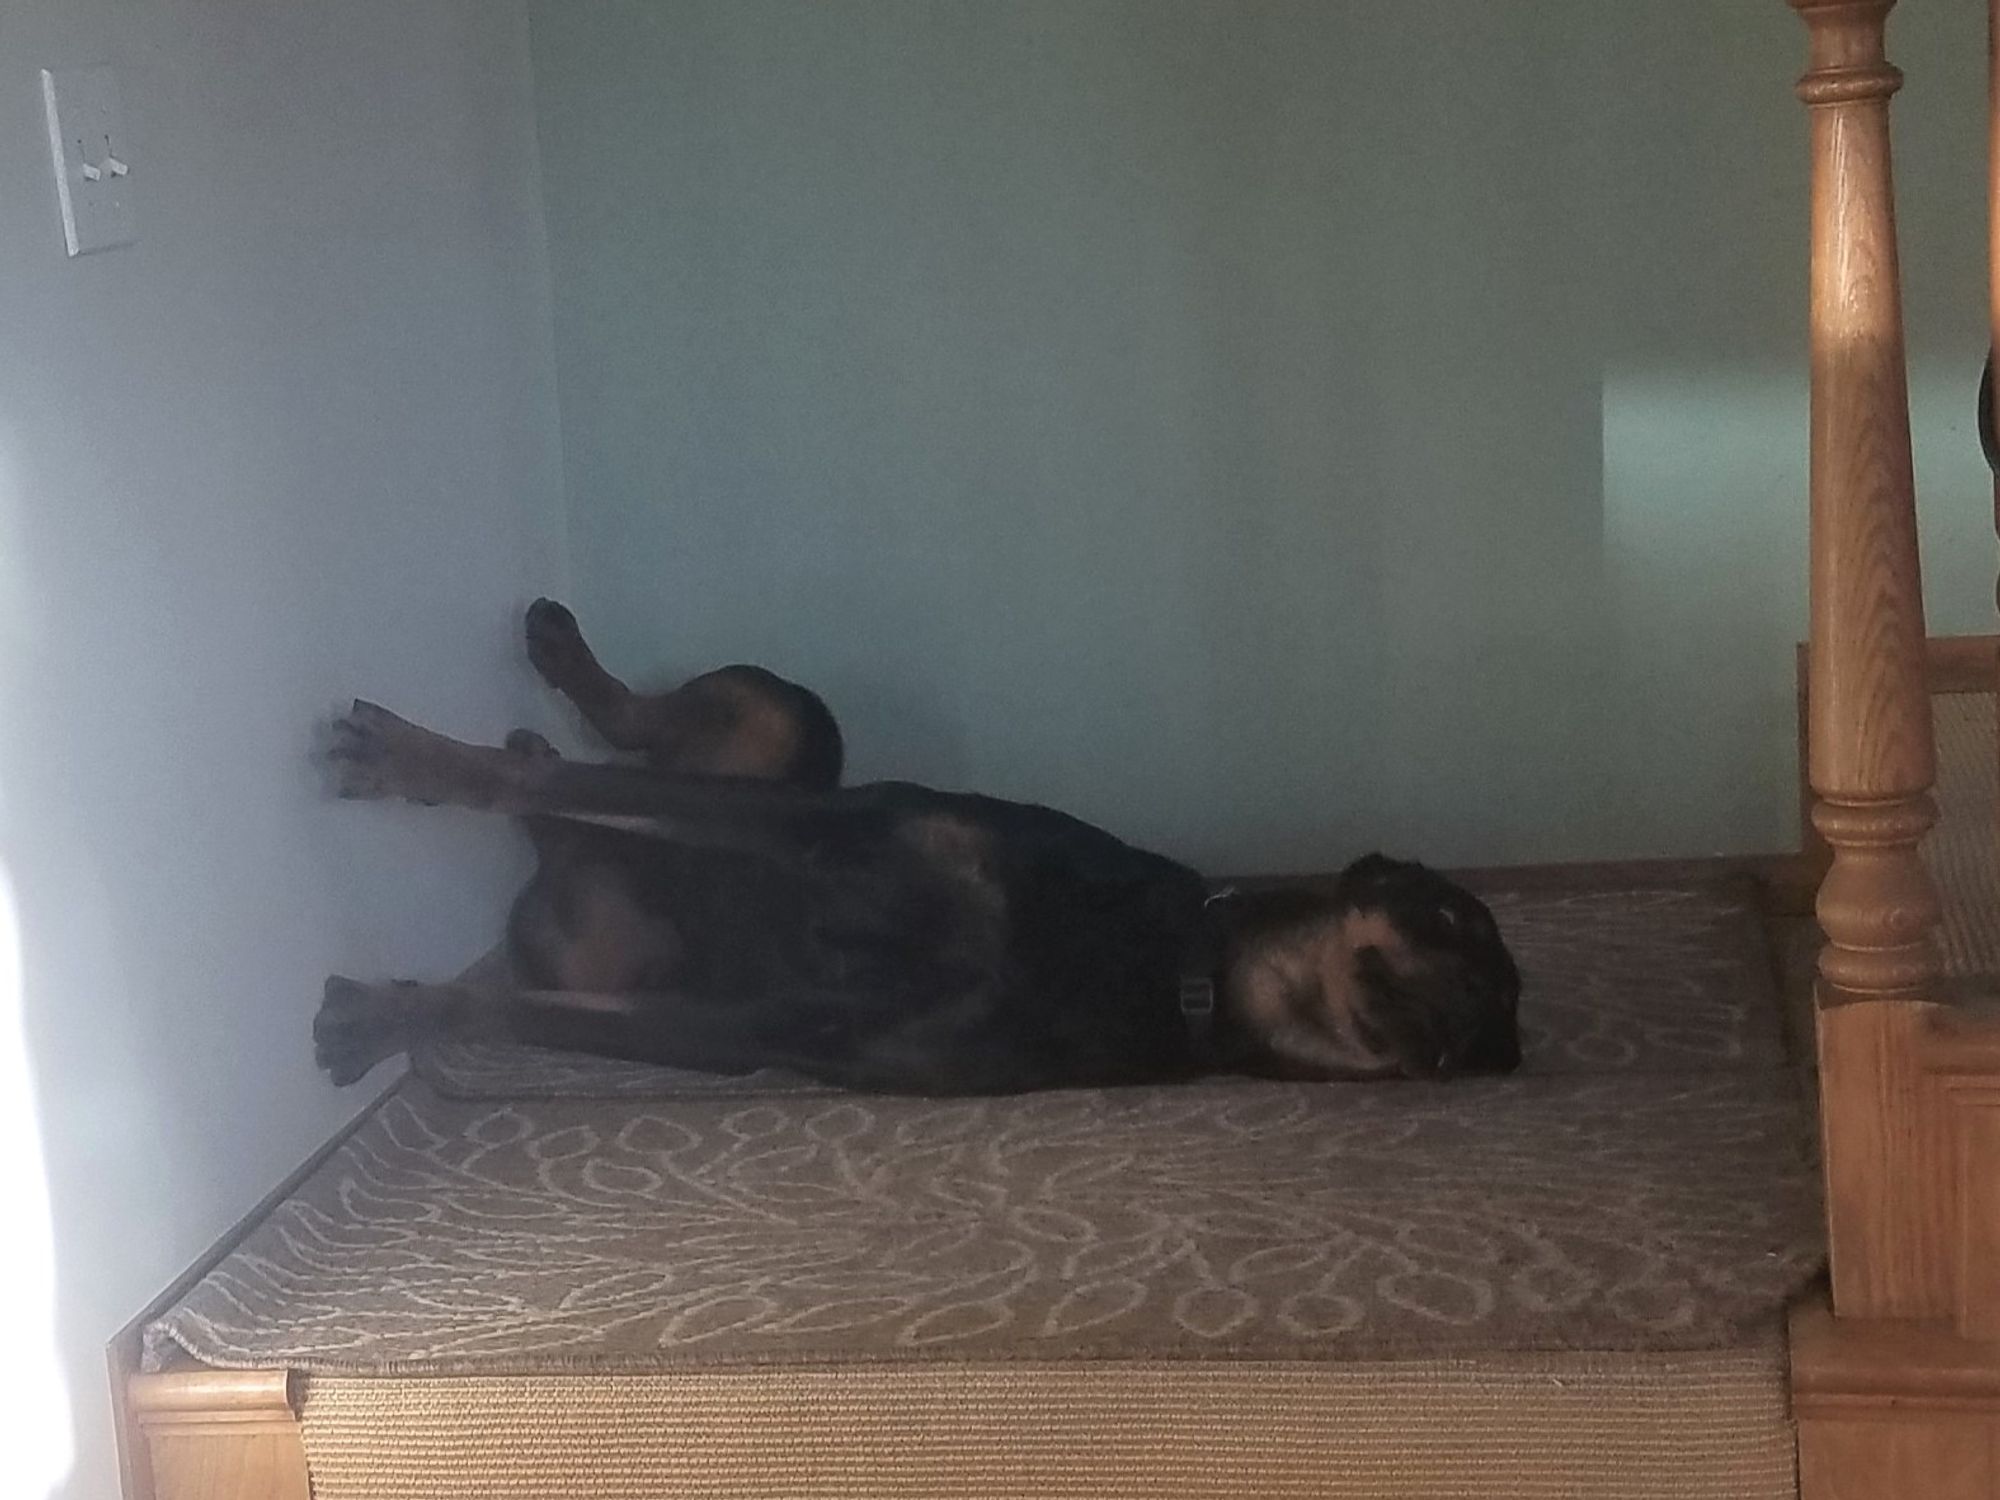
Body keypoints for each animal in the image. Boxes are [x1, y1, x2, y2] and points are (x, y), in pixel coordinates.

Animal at [312, 604, 1512, 1104]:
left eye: (1483, 1042)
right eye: (1453, 918)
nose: (1461, 1015)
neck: (1171, 969)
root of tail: (558, 884)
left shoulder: (767, 1028)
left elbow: (510, 1010)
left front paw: (383, 1017)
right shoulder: (831, 825)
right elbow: (568, 786)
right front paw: (415, 756)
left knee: (584, 816)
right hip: (801, 727)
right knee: (641, 738)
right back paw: (555, 666)